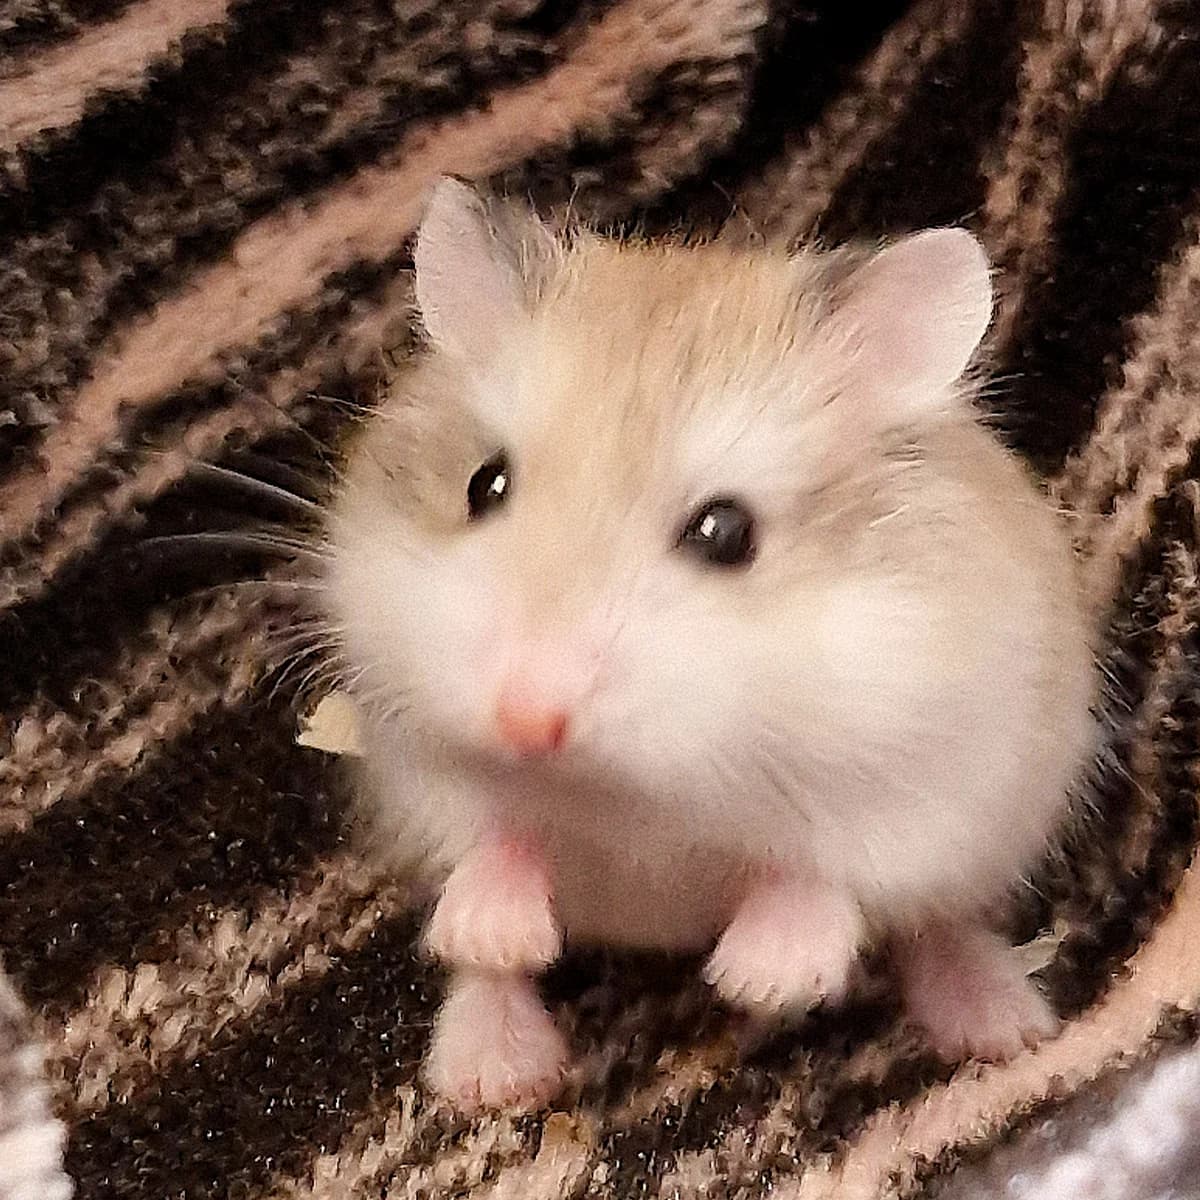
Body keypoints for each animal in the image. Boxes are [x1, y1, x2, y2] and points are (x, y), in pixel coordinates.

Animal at [323, 177, 1098, 1110]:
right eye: (483, 485)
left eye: (726, 533)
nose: (525, 722)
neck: (630, 793)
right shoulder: (415, 761)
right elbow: (492, 835)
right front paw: (497, 934)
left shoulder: (927, 787)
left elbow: (829, 873)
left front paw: (756, 980)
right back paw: (492, 1076)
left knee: (936, 925)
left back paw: (1002, 1030)